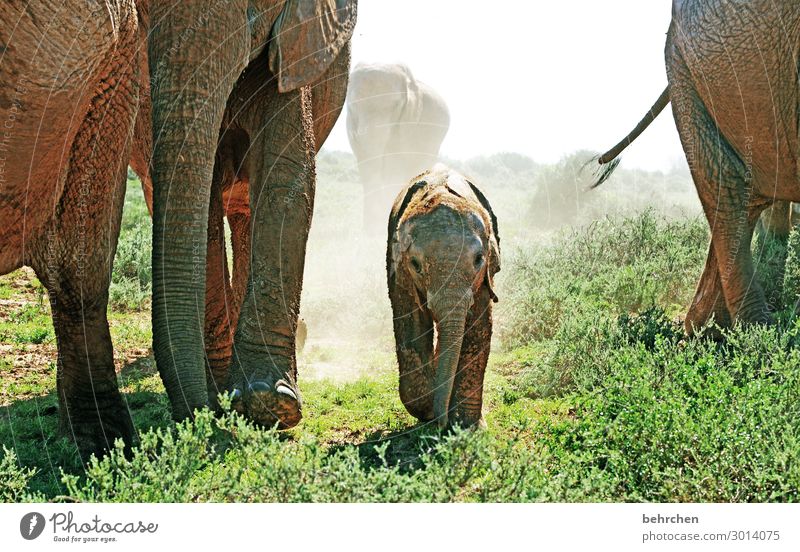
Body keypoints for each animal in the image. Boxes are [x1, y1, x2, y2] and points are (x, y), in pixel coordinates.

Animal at [145, 0, 356, 430]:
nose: (203, 411)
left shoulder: (294, 47)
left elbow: (288, 179)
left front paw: (268, 401)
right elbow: (204, 194)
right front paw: (228, 394)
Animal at [388, 166, 500, 430]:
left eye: (479, 259)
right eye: (416, 264)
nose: (442, 423)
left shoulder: (483, 278)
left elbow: (479, 328)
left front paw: (468, 427)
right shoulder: (400, 274)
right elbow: (411, 326)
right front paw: (428, 411)